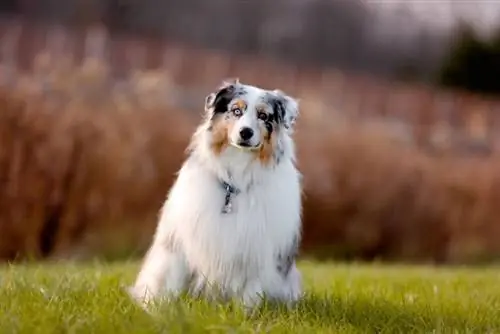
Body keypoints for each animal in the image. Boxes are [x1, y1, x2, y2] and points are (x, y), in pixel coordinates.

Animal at [128, 79, 300, 310]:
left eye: (263, 116)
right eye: (236, 111)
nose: (245, 132)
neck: (235, 179)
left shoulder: (256, 248)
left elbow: (250, 290)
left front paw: (245, 312)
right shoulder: (181, 240)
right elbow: (169, 279)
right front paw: (158, 308)